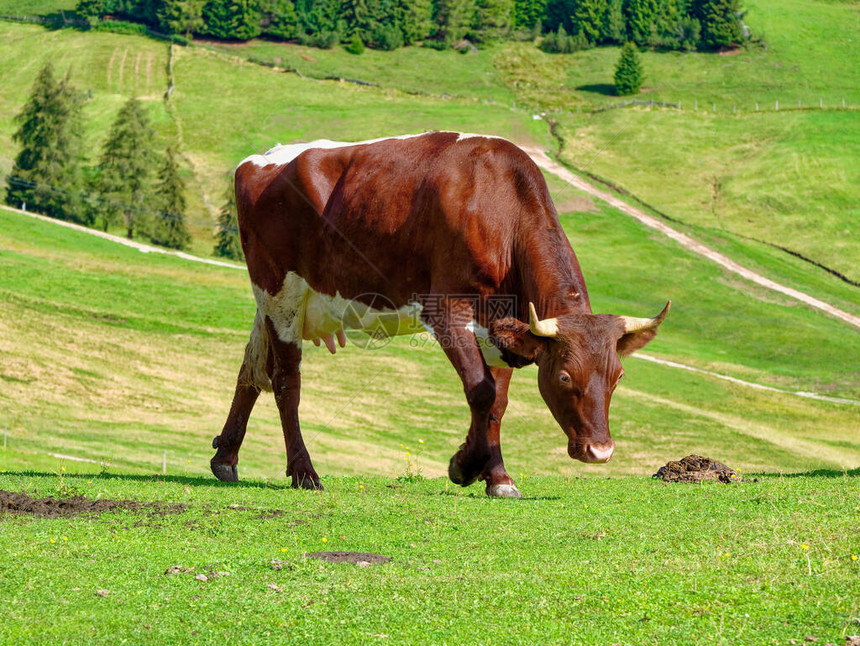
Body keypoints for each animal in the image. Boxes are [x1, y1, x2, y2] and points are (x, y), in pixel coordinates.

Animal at [212, 129, 668, 498]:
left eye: (618, 376)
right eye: (564, 377)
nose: (600, 450)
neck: (498, 208)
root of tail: (260, 159)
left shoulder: (500, 326)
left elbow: (498, 402)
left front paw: (497, 477)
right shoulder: (446, 310)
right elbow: (480, 391)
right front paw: (465, 466)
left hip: (274, 304)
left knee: (251, 371)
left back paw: (225, 458)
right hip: (281, 294)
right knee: (285, 381)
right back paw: (304, 473)